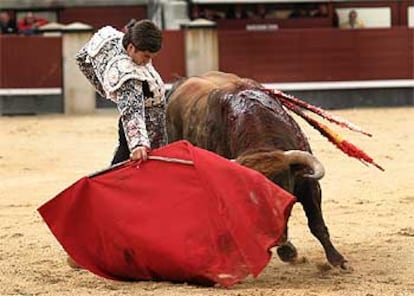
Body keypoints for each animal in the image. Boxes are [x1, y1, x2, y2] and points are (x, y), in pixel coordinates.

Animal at [167, 70, 348, 268]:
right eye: (249, 197)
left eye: (283, 190)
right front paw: (286, 250)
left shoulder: (308, 184)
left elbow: (316, 224)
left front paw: (338, 261)